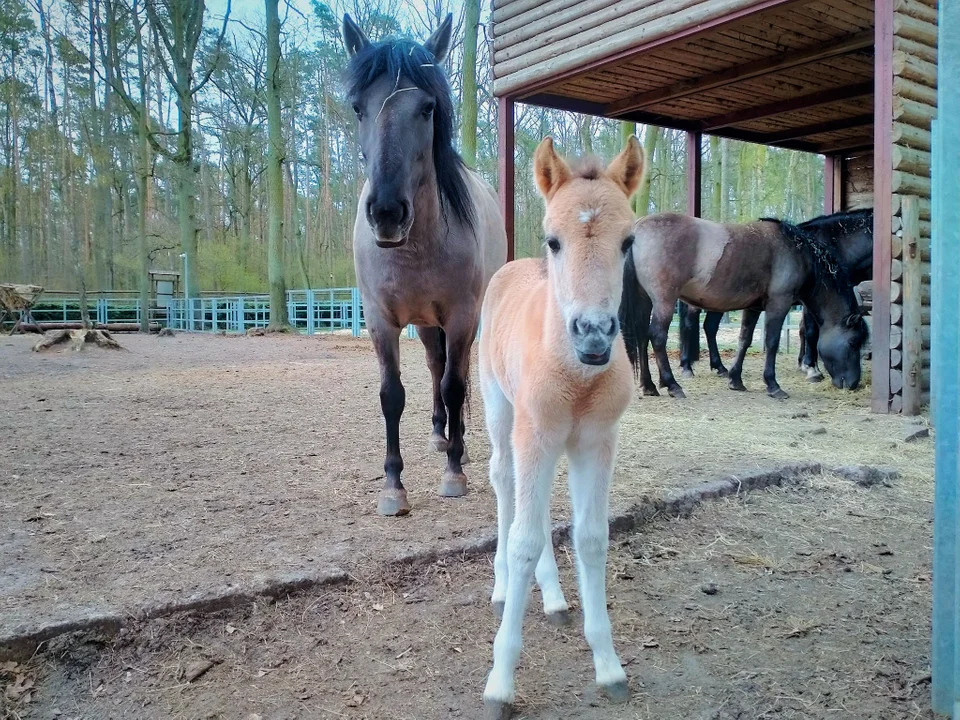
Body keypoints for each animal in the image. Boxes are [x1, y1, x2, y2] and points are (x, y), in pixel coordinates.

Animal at [344, 14, 510, 516]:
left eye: (428, 108)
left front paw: (454, 472)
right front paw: (392, 486)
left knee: (454, 374)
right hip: (423, 323)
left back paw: (458, 444)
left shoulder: (460, 317)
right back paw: (440, 434)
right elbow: (391, 395)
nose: (386, 212)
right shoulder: (381, 321)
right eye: (358, 108)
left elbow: (456, 386)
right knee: (436, 367)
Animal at [478, 136, 644, 720]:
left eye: (628, 242)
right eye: (554, 240)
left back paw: (551, 598)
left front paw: (609, 666)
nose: (593, 334)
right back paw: (503, 587)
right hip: (500, 409)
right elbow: (524, 540)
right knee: (503, 480)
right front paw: (500, 683)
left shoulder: (596, 442)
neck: (577, 376)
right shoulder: (536, 434)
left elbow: (591, 537)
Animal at [680, 208, 872, 382]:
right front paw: (811, 368)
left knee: (710, 327)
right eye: (853, 343)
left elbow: (803, 329)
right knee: (690, 325)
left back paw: (719, 367)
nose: (854, 383)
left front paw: (803, 363)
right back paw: (687, 366)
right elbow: (810, 331)